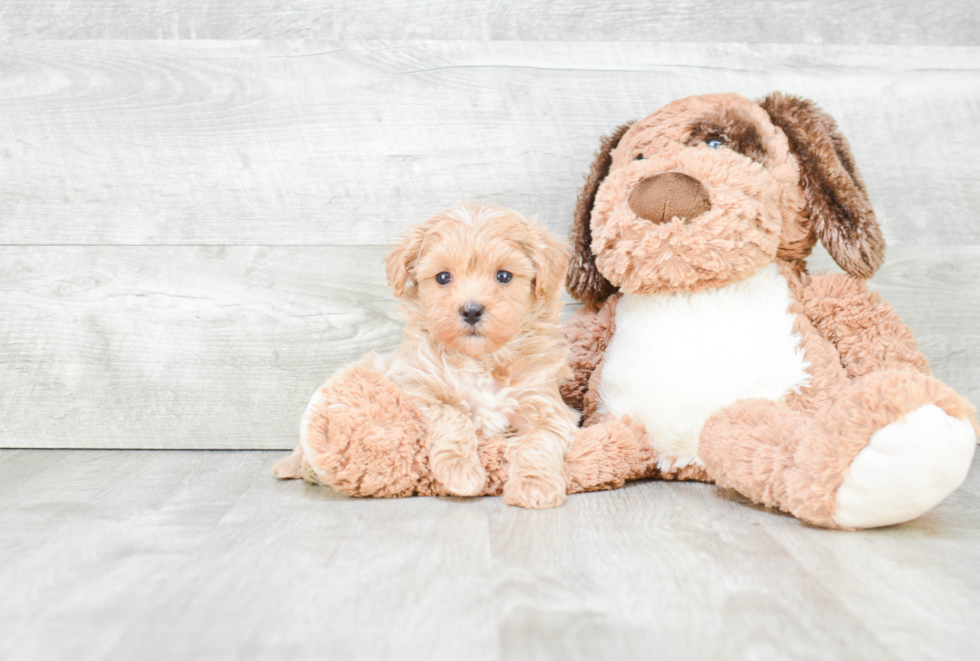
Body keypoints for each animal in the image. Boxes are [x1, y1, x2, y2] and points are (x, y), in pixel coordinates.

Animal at [382, 204, 580, 508]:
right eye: (443, 277)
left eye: (504, 276)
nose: (472, 310)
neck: (481, 360)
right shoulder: (419, 391)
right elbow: (452, 416)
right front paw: (460, 473)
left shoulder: (546, 406)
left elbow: (538, 444)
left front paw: (535, 487)